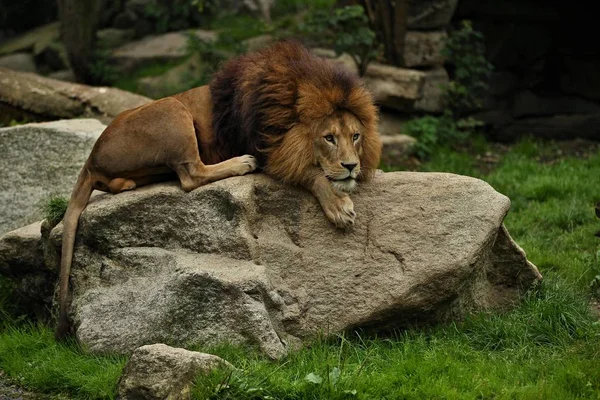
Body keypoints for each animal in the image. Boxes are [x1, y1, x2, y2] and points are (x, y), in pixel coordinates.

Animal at [58, 40, 382, 340]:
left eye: (355, 136)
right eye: (328, 138)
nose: (351, 165)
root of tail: (91, 157)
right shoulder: (270, 150)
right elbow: (312, 173)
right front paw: (338, 206)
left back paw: (128, 183)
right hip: (173, 107)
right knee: (190, 175)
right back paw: (241, 163)